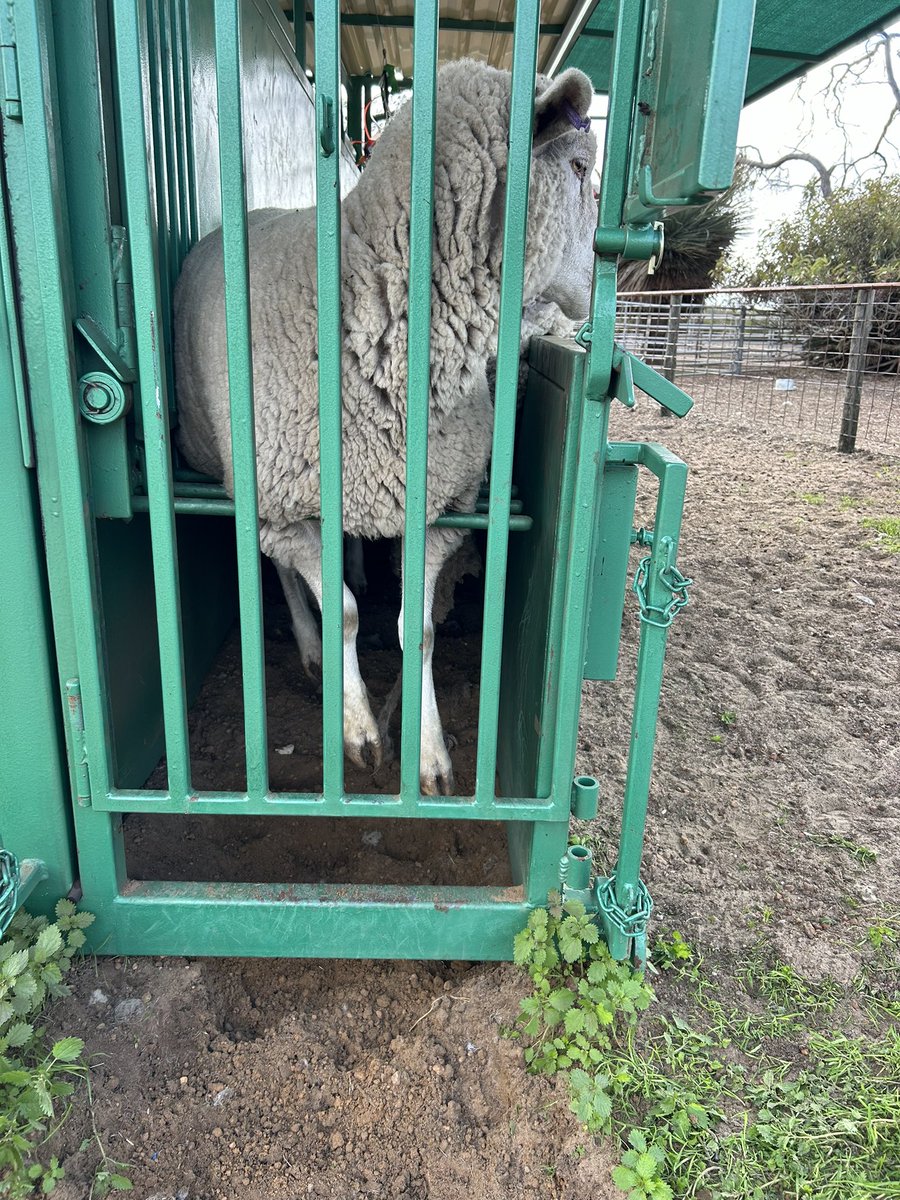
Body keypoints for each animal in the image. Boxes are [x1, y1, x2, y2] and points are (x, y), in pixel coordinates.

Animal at [173, 58, 598, 795]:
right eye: (577, 167)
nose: (601, 284)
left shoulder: (441, 507)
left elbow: (416, 630)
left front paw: (428, 756)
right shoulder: (285, 503)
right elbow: (341, 612)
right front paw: (360, 730)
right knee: (281, 572)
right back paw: (312, 651)